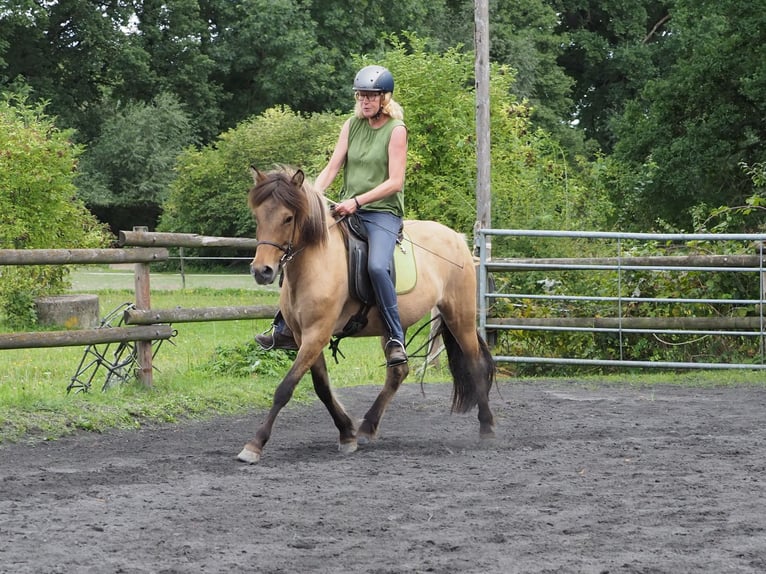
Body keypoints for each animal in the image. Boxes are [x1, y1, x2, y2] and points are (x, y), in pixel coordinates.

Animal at [243, 165, 500, 464]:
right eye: (258, 216)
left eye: (288, 218)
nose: (262, 271)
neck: (315, 264)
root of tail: (456, 238)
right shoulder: (303, 335)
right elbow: (322, 388)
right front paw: (347, 433)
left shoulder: (317, 333)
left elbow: (285, 388)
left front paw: (255, 444)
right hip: (394, 326)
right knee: (398, 370)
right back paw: (367, 426)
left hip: (459, 317)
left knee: (474, 363)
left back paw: (487, 427)